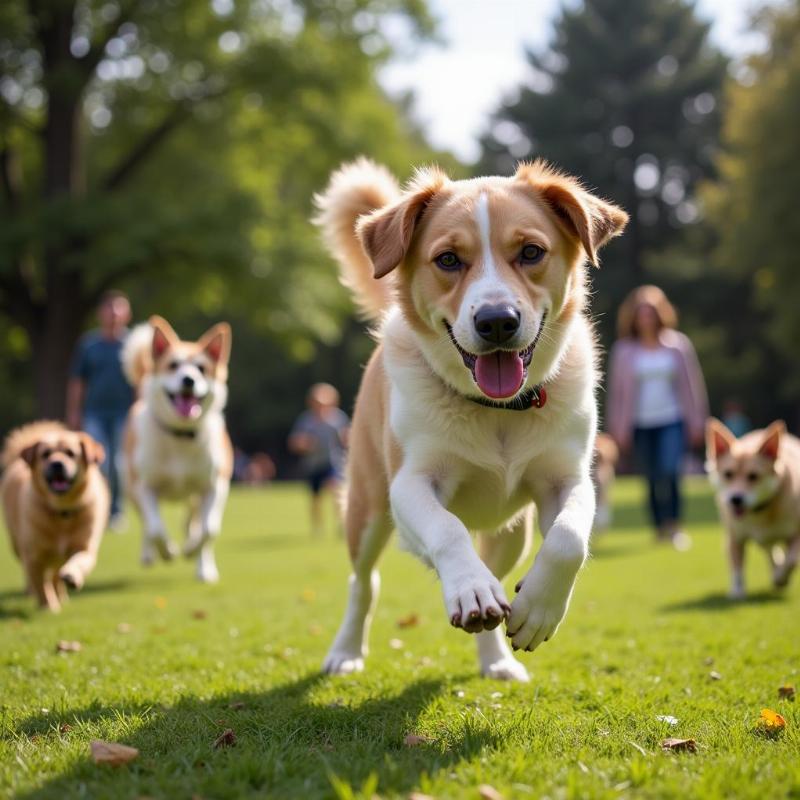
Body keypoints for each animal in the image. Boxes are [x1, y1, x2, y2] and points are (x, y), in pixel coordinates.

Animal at [0, 422, 108, 608]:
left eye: (71, 453)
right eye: (45, 454)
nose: (57, 463)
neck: (62, 513)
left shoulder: (84, 547)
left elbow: (79, 561)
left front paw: (72, 575)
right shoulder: (34, 556)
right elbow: (42, 586)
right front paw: (48, 607)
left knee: (55, 575)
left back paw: (62, 593)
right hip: (18, 546)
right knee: (35, 576)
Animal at [120, 316, 234, 584]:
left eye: (201, 368)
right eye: (173, 365)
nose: (188, 380)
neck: (181, 438)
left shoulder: (215, 485)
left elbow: (209, 530)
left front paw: (195, 555)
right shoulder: (145, 487)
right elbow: (155, 528)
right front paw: (168, 551)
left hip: (193, 496)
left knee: (194, 523)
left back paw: (200, 560)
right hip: (130, 487)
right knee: (147, 524)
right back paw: (149, 554)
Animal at [316, 158, 628, 680]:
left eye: (530, 251)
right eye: (447, 260)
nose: (497, 320)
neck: (496, 410)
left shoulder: (568, 478)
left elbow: (568, 539)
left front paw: (537, 610)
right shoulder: (410, 483)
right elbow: (447, 529)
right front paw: (470, 589)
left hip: (512, 534)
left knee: (499, 571)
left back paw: (497, 659)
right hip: (367, 506)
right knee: (364, 582)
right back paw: (345, 650)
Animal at [708, 418, 800, 600]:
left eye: (753, 476)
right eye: (728, 474)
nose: (736, 499)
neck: (760, 513)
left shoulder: (795, 534)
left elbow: (792, 560)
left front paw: (780, 578)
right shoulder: (735, 536)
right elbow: (737, 565)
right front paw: (737, 592)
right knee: (769, 550)